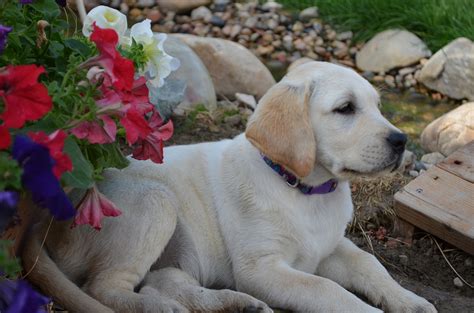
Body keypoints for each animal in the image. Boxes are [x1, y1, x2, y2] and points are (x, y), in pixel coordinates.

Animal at [22, 61, 436, 312]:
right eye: (346, 108)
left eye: (378, 106)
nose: (401, 141)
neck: (302, 190)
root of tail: (47, 218)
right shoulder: (261, 269)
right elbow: (327, 289)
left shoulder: (331, 247)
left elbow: (370, 265)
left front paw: (408, 300)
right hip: (156, 201)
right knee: (105, 288)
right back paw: (161, 308)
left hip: (178, 252)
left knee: (161, 281)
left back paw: (235, 303)